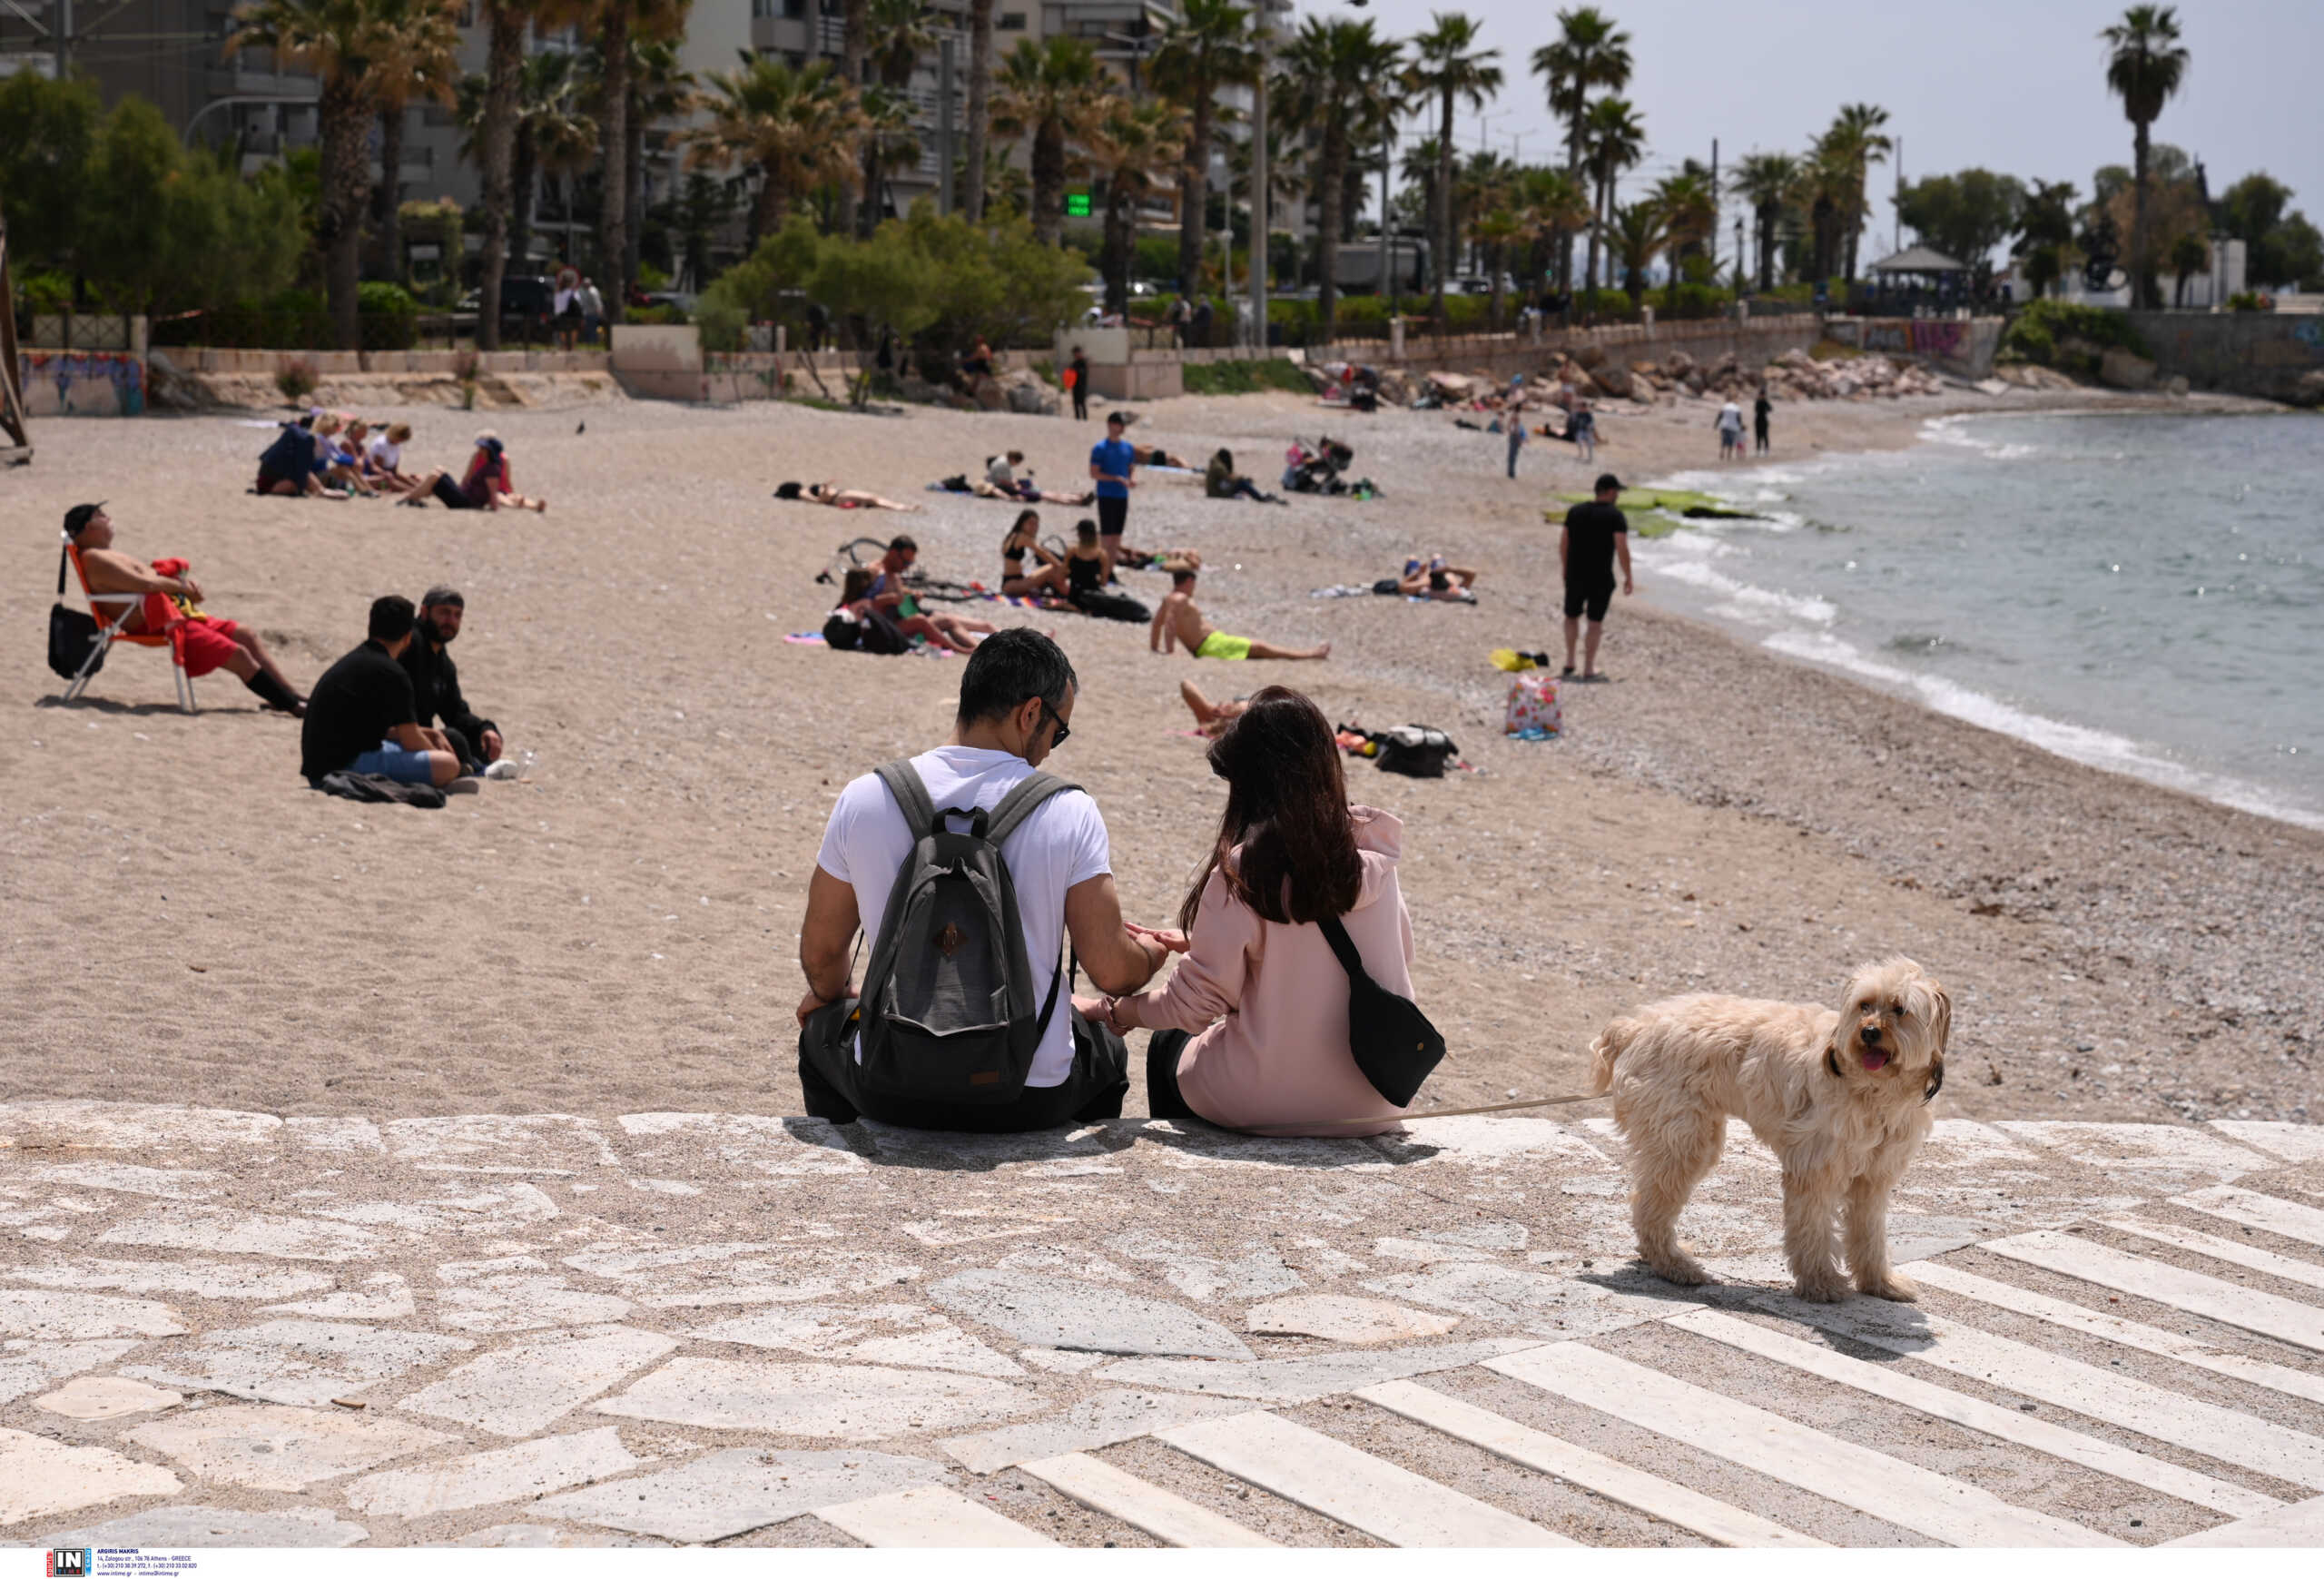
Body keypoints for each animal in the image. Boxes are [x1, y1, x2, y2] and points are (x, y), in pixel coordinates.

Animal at [1590, 958, 1952, 1302]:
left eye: (1900, 1009)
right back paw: (1675, 1266)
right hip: (1684, 1142)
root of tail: (1632, 1028)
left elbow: (1870, 1233)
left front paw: (1881, 1283)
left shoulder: (1874, 1178)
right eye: (1864, 1005)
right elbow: (1812, 1226)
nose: (1870, 1032)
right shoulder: (1815, 1169)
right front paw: (1820, 1283)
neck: (1873, 1088)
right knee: (1651, 1207)